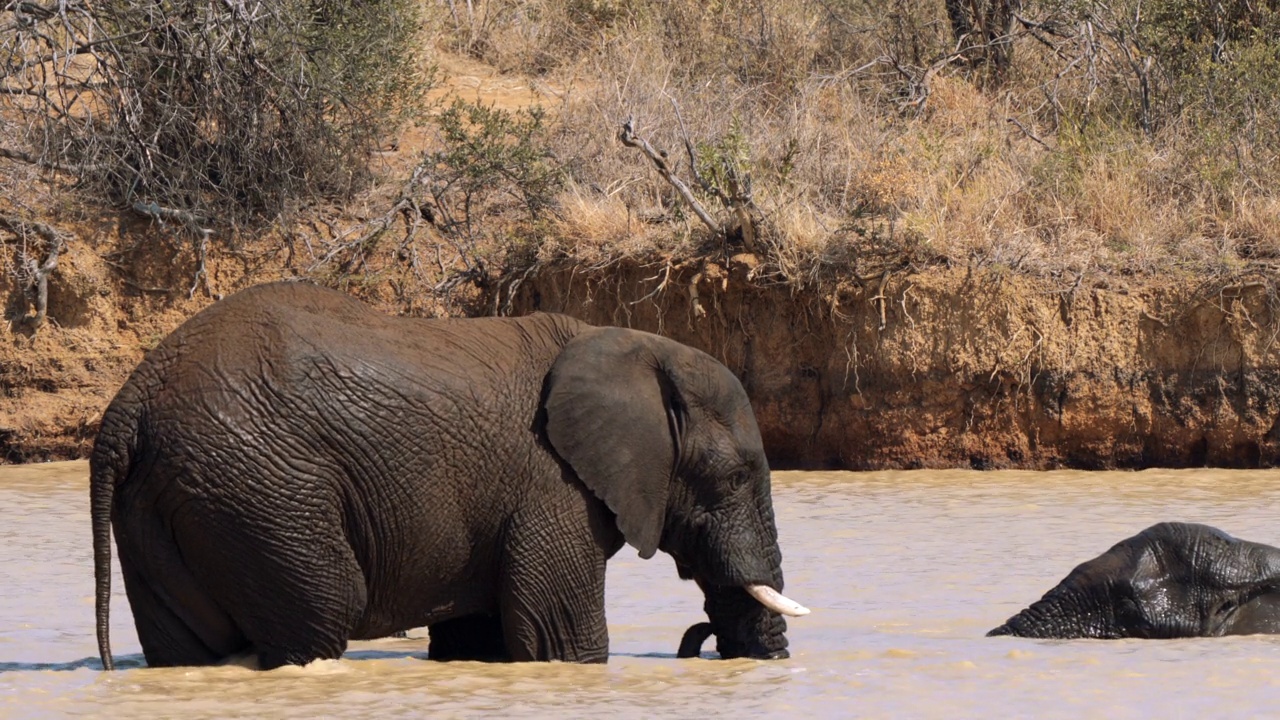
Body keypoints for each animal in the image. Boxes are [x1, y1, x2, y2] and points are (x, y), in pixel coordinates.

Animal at [92, 279, 808, 666]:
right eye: (736, 476)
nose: (700, 636)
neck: (630, 341)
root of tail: (130, 402)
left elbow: (479, 639)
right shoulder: (552, 485)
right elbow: (561, 639)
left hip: (174, 497)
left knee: (187, 646)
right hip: (258, 485)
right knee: (322, 613)